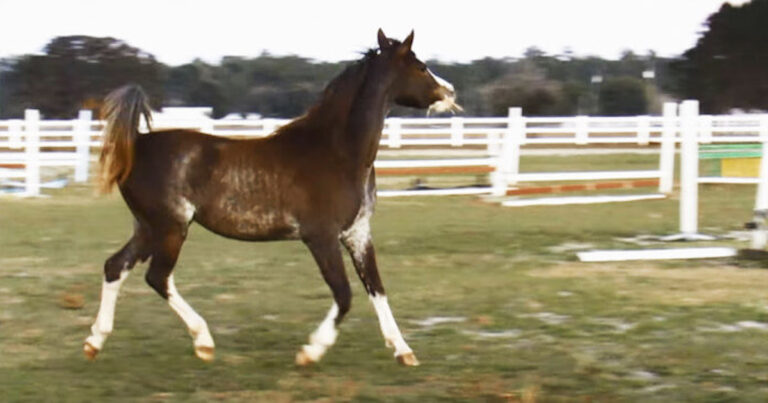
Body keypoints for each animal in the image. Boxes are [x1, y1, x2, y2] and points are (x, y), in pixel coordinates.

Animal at [82, 30, 462, 368]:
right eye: (421, 66)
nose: (450, 93)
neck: (338, 152)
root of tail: (136, 143)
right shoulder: (321, 237)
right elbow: (344, 295)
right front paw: (310, 352)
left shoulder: (358, 234)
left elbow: (377, 289)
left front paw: (404, 351)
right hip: (170, 228)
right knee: (157, 277)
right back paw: (203, 341)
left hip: (147, 228)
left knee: (116, 267)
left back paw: (94, 341)